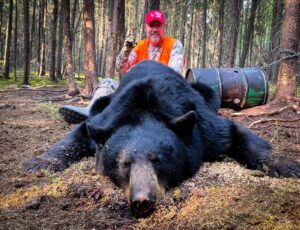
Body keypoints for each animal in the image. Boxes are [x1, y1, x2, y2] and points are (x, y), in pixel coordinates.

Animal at [24, 59, 300, 217]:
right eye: (124, 164)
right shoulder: (108, 118)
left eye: (158, 160)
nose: (142, 200)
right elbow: (79, 133)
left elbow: (235, 133)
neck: (147, 107)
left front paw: (286, 164)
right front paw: (39, 162)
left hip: (207, 91)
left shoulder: (204, 127)